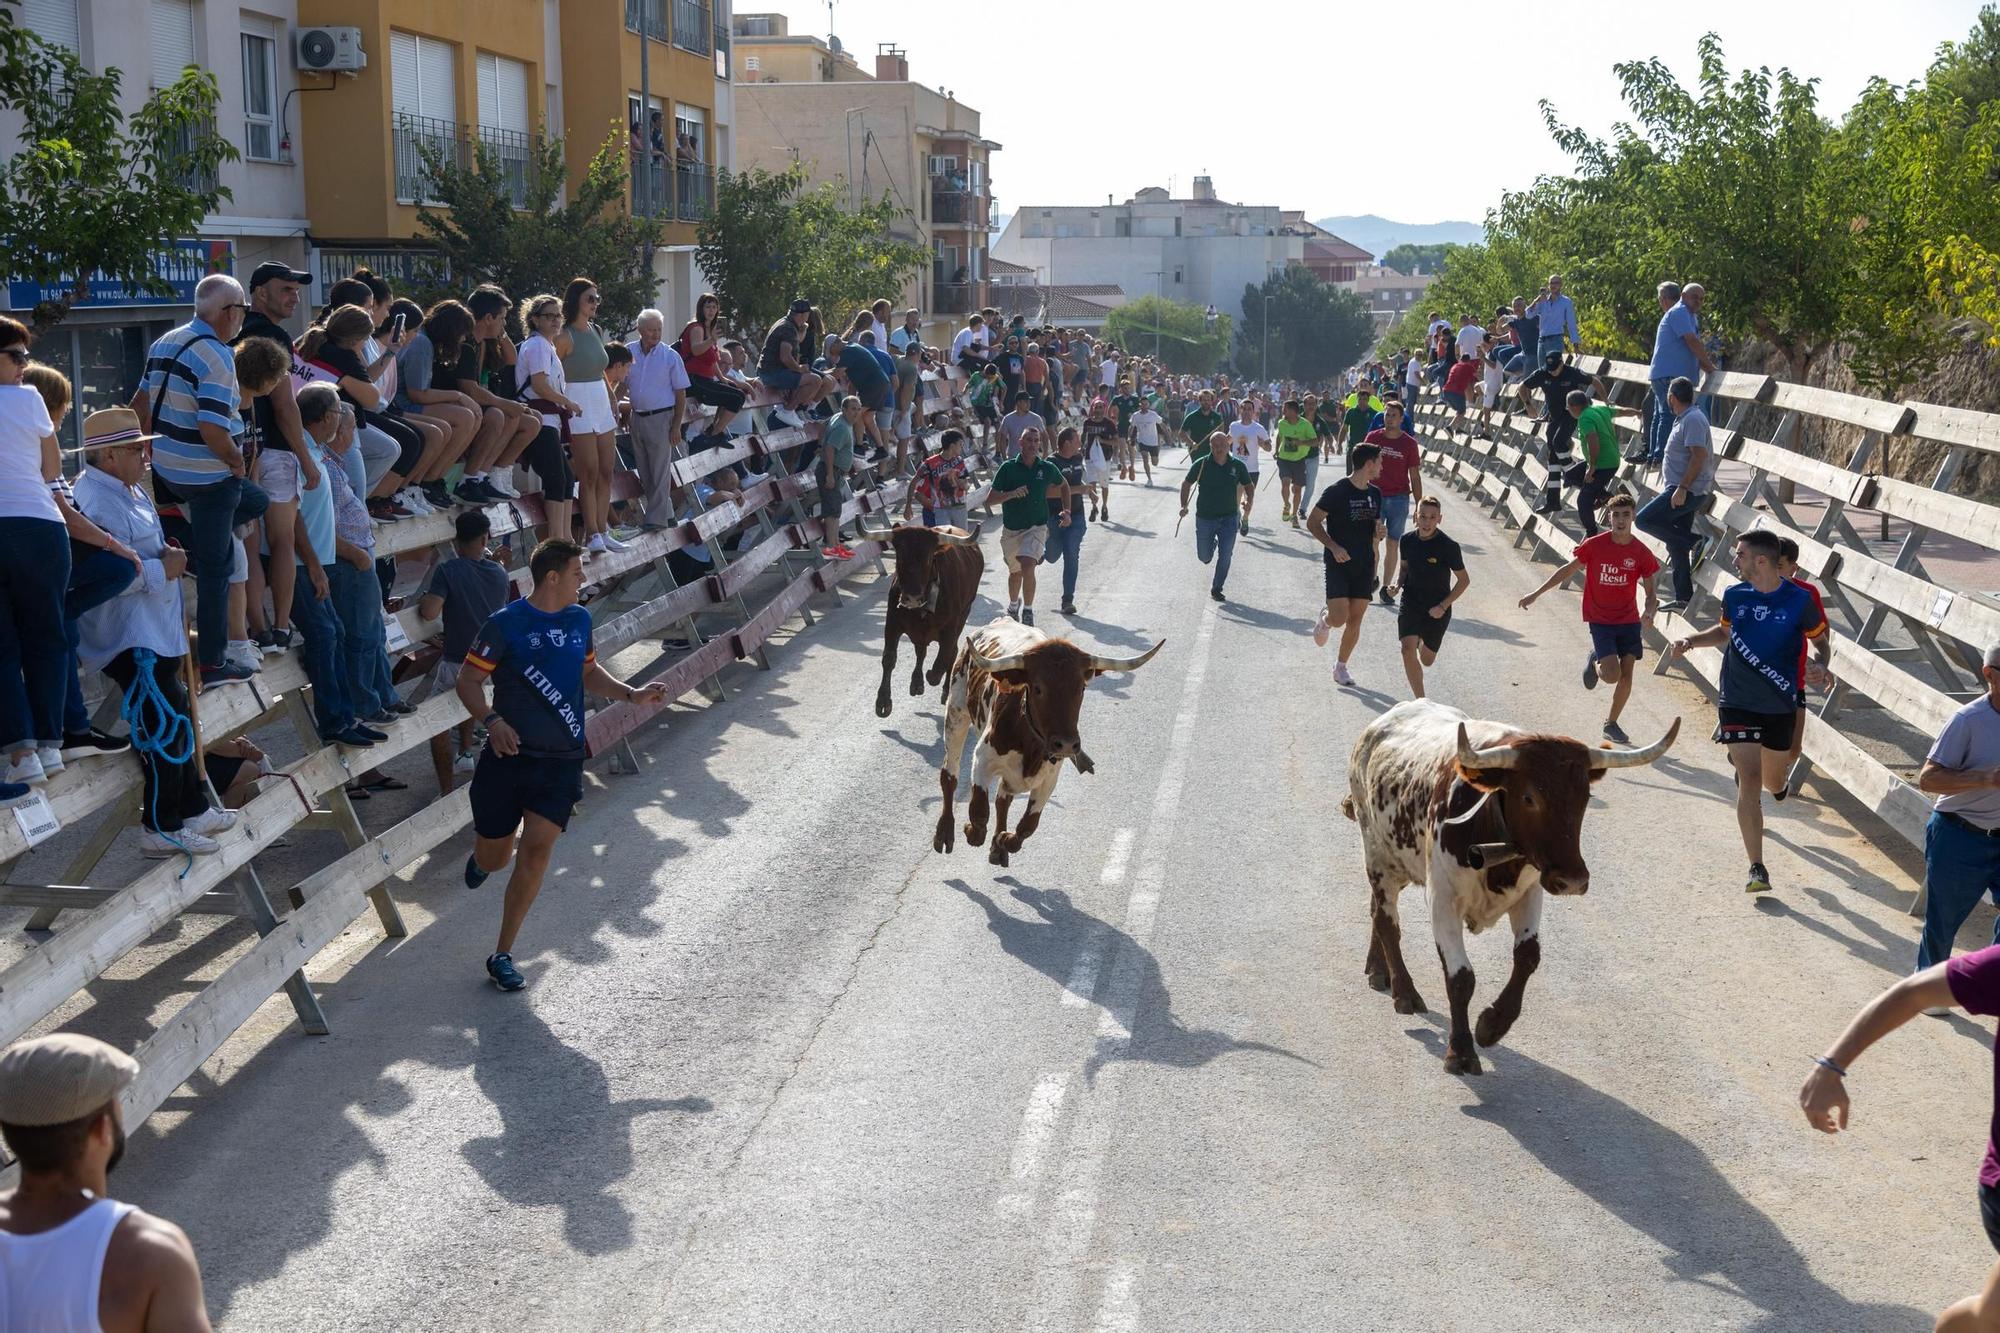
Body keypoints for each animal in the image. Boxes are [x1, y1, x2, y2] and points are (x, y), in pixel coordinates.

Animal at [860, 520, 984, 716]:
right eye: (900, 558)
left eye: (928, 558)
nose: (911, 597)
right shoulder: (892, 624)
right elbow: (889, 658)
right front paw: (883, 700)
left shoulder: (951, 628)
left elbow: (942, 661)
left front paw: (933, 677)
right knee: (921, 650)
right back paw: (916, 683)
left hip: (963, 616)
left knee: (951, 653)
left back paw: (945, 690)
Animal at [932, 608, 1168, 860]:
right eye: (1037, 688)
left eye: (1081, 688)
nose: (1066, 744)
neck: (1031, 743)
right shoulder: (983, 758)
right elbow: (978, 814)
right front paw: (971, 831)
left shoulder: (1050, 777)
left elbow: (1028, 825)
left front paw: (1004, 840)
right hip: (956, 714)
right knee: (950, 775)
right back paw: (945, 833)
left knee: (1003, 798)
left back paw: (998, 850)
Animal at [1336, 700, 1680, 1072]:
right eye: (1529, 798)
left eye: (1585, 797)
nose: (1573, 880)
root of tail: (1384, 722)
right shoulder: (1442, 900)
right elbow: (1461, 977)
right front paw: (1461, 1051)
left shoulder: (1530, 892)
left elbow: (1528, 957)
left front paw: (1492, 1025)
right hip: (1377, 856)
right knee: (1387, 920)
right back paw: (1404, 991)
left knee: (1377, 910)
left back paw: (1377, 969)